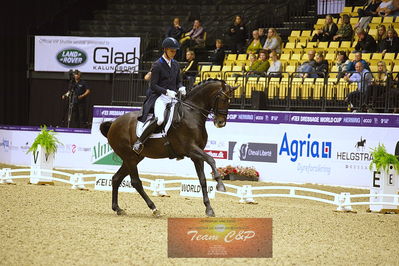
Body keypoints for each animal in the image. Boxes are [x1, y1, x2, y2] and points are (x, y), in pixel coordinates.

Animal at [100, 80, 239, 217]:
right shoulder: (191, 148)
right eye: (222, 98)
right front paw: (220, 184)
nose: (220, 123)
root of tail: (114, 123)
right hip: (130, 158)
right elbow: (211, 159)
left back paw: (117, 208)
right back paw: (154, 208)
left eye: (230, 101)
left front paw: (209, 208)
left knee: (116, 178)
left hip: (134, 158)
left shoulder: (196, 156)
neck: (191, 114)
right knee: (135, 182)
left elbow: (202, 180)